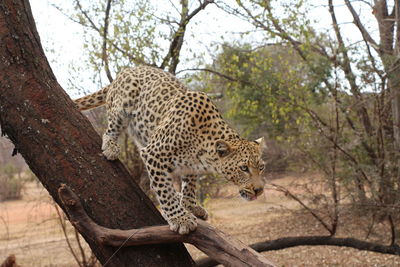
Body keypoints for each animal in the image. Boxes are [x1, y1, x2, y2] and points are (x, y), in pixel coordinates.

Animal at [73, 66, 268, 236]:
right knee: (111, 129)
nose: (259, 190)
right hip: (122, 107)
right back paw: (111, 146)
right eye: (243, 168)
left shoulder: (190, 164)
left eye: (261, 167)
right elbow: (164, 189)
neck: (204, 149)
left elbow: (189, 183)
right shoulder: (153, 153)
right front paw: (180, 218)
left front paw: (190, 205)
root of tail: (127, 69)